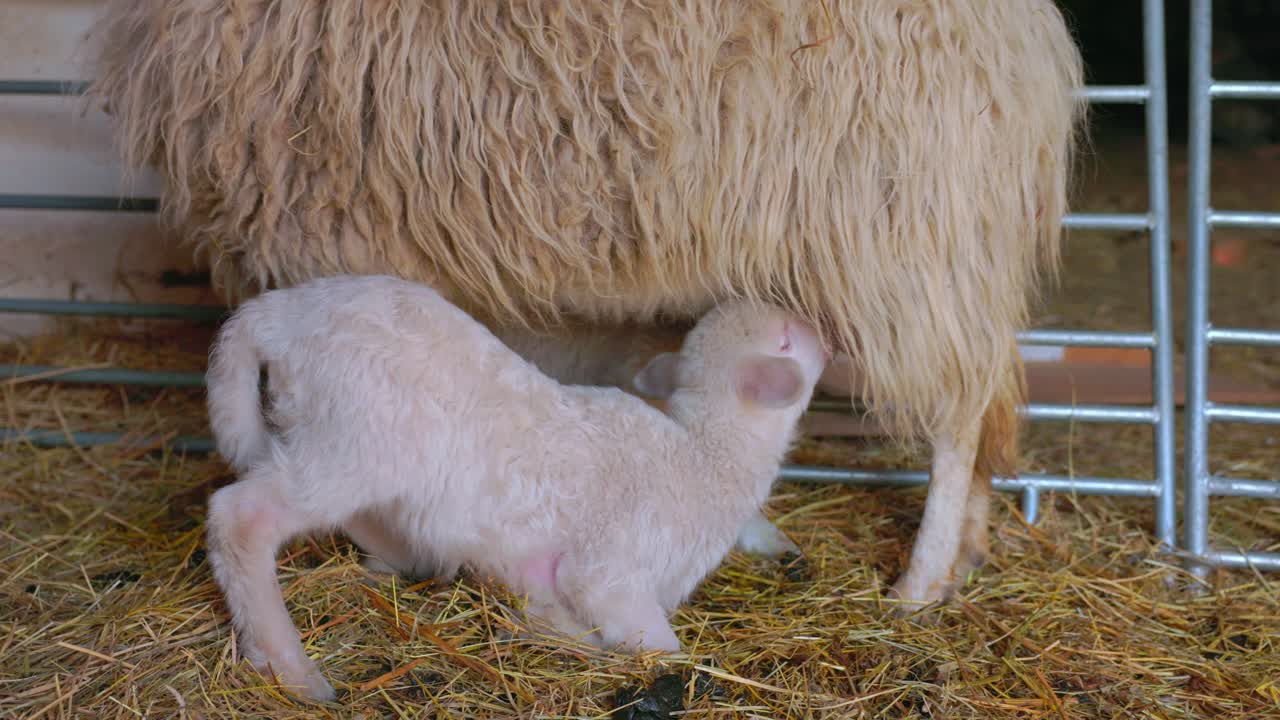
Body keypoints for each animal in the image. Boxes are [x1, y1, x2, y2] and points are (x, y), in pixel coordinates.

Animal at [91, 0, 1087, 609]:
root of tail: (1030, 46)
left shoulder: (328, 227)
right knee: (993, 400)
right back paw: (970, 549)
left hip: (905, 241)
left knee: (961, 412)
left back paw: (921, 581)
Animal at [203, 273, 828, 701]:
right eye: (787, 339)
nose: (824, 333)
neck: (706, 456)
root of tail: (277, 313)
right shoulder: (615, 568)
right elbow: (657, 645)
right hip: (352, 440)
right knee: (241, 517)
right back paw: (292, 669)